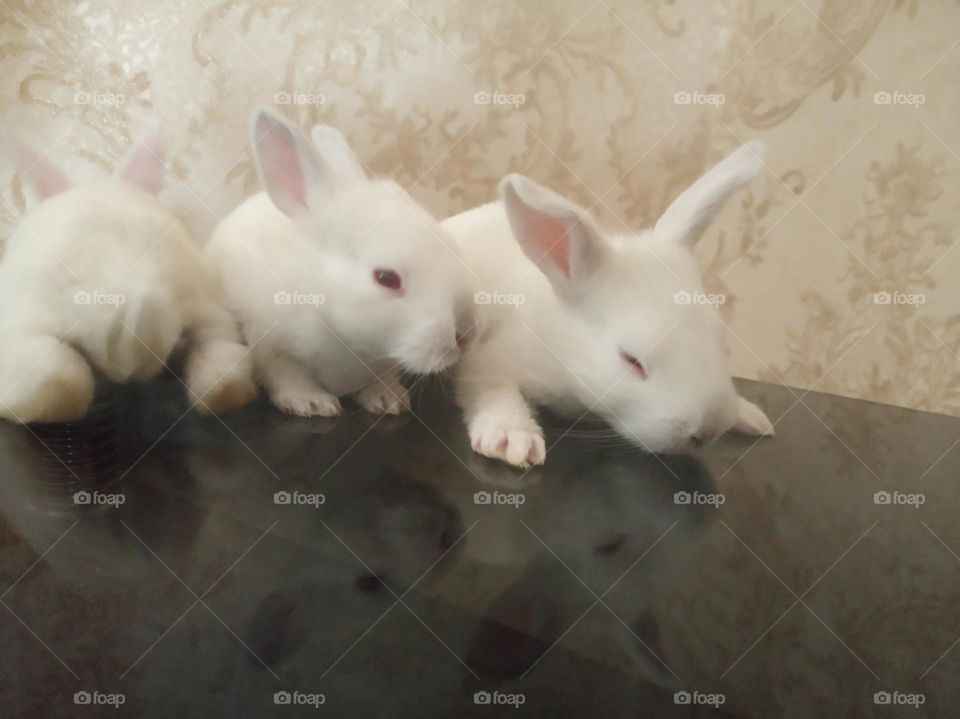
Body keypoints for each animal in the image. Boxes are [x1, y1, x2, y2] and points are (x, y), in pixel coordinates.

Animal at [204, 109, 476, 418]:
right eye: (386, 278)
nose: (465, 335)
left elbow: (380, 378)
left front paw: (389, 400)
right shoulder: (271, 344)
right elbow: (289, 375)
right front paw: (313, 403)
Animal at [444, 142, 775, 467]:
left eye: (721, 341)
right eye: (631, 360)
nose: (705, 431)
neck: (563, 346)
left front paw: (750, 415)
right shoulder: (490, 361)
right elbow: (492, 389)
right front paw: (512, 440)